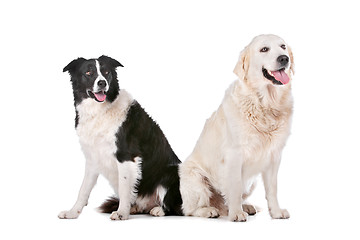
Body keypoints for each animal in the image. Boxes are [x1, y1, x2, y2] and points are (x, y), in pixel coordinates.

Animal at [59, 55, 183, 219]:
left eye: (106, 72)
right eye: (88, 72)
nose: (102, 83)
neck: (100, 111)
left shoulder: (126, 156)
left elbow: (124, 187)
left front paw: (122, 213)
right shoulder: (93, 158)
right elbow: (83, 189)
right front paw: (73, 212)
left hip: (170, 174)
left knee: (175, 207)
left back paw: (158, 210)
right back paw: (135, 208)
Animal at [180, 33, 296, 221]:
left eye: (283, 46)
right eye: (264, 49)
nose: (284, 58)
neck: (265, 104)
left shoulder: (274, 156)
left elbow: (272, 189)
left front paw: (277, 212)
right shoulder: (234, 155)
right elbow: (234, 186)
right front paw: (236, 214)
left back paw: (245, 206)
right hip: (195, 178)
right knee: (189, 209)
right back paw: (210, 210)